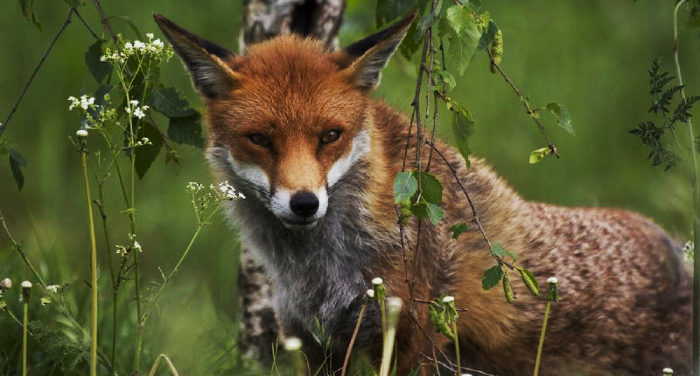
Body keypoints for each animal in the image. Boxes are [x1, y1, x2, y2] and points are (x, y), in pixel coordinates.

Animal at [153, 12, 688, 376]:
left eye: (330, 135)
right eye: (260, 139)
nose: (305, 202)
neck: (319, 269)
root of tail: (671, 248)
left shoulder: (411, 334)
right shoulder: (310, 340)